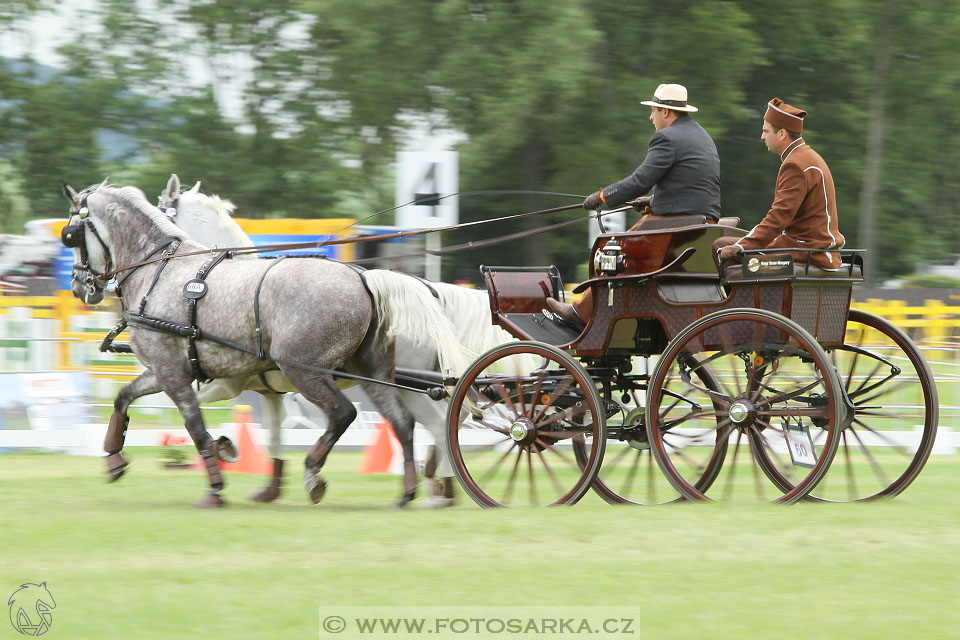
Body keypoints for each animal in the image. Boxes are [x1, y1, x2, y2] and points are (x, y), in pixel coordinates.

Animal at [60, 179, 468, 504]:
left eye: (71, 235)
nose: (80, 286)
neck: (160, 271)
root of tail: (364, 279)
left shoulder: (186, 375)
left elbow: (195, 426)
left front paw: (216, 482)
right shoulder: (172, 371)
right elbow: (124, 397)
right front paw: (114, 458)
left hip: (308, 371)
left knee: (352, 415)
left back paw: (323, 474)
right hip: (374, 373)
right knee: (404, 422)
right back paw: (411, 490)